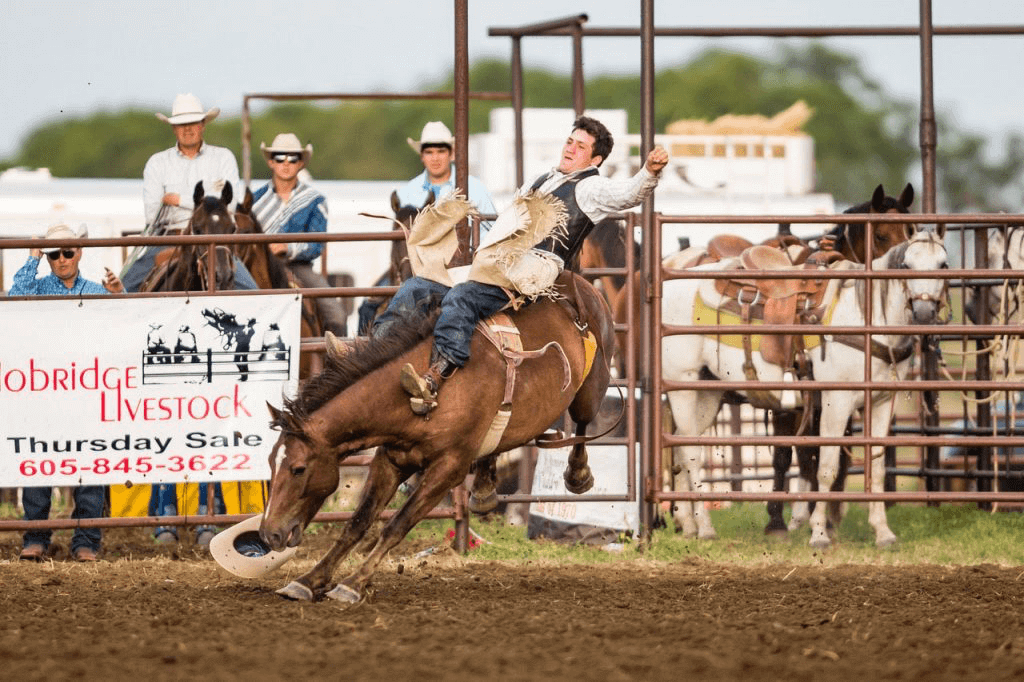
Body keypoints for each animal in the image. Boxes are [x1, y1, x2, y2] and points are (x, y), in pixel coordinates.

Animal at [260, 270, 610, 602]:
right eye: (271, 463)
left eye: (298, 469)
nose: (268, 534)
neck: (418, 398)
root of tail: (579, 284)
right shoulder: (390, 459)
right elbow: (357, 522)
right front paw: (309, 580)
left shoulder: (449, 469)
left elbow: (396, 526)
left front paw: (353, 584)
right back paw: (484, 489)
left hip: (589, 391)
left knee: (582, 426)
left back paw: (578, 475)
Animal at [659, 228, 946, 548]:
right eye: (906, 265)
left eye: (943, 265)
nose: (924, 312)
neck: (864, 316)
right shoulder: (837, 402)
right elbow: (826, 468)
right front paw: (819, 532)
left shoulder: (882, 402)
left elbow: (877, 466)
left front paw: (883, 532)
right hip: (683, 386)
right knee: (691, 453)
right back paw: (706, 528)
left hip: (708, 391)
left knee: (683, 447)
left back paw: (690, 525)